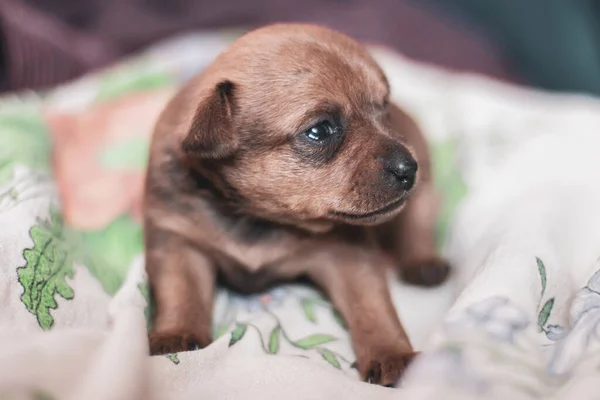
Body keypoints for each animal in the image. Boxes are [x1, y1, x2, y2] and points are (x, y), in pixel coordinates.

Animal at [144, 23, 450, 386]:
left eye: (384, 107)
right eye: (320, 130)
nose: (408, 168)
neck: (260, 217)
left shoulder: (348, 254)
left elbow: (373, 306)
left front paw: (392, 354)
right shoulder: (177, 239)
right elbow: (180, 289)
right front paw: (176, 335)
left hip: (423, 185)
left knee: (417, 222)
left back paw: (424, 263)